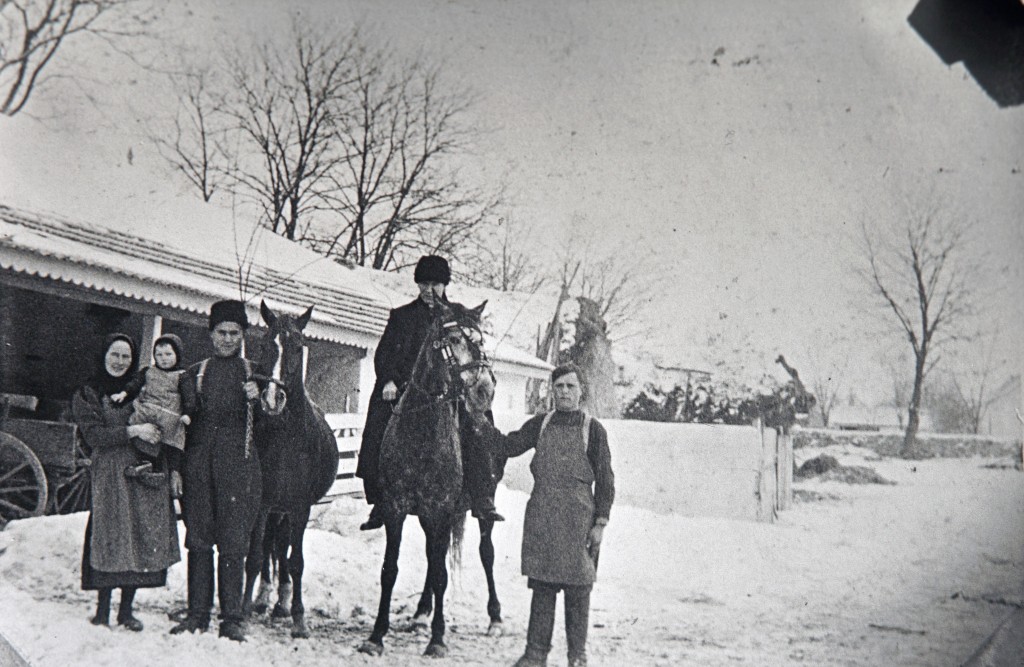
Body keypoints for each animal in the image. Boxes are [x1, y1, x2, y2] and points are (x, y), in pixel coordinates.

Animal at [243, 300, 339, 638]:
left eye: (298, 347)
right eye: (264, 344)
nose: (273, 400)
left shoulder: (300, 507)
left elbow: (296, 561)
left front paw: (298, 618)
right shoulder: (262, 503)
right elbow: (256, 556)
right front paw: (243, 611)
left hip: (286, 510)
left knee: (283, 547)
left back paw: (282, 604)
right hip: (274, 509)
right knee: (272, 545)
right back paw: (263, 599)